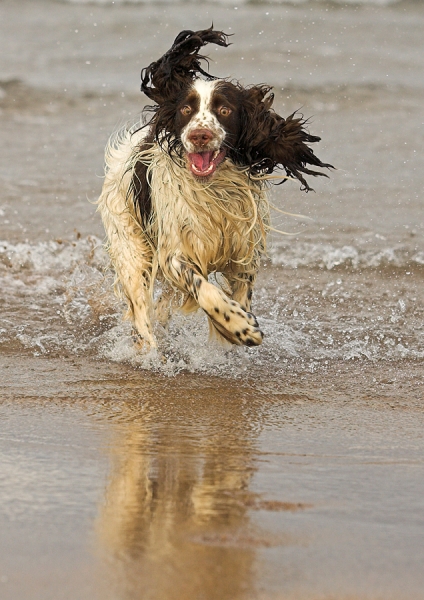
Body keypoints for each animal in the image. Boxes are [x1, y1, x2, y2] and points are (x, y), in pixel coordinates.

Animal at [97, 28, 332, 352]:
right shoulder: (174, 254)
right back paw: (151, 352)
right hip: (131, 248)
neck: (214, 188)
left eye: (224, 109)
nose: (200, 135)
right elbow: (206, 291)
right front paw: (240, 326)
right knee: (142, 312)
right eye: (186, 109)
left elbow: (239, 294)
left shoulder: (244, 254)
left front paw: (230, 332)